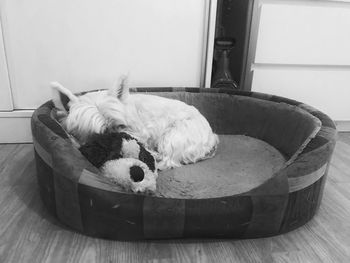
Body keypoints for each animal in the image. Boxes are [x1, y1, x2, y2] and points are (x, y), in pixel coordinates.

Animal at [51, 77, 219, 170]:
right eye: (97, 135)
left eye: (121, 126)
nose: (118, 138)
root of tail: (212, 137)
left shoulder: (141, 133)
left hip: (174, 136)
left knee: (168, 160)